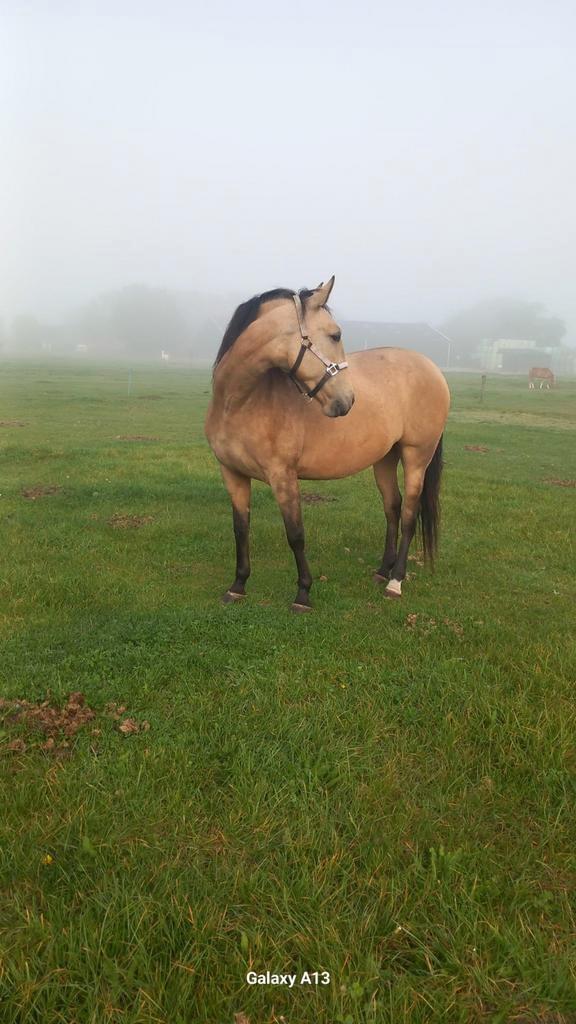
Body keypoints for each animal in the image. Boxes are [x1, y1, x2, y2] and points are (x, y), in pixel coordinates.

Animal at [205, 277, 450, 611]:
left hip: (416, 457)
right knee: (393, 508)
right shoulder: (232, 474)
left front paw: (303, 594)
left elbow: (295, 534)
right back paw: (382, 572)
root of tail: (432, 368)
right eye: (336, 335)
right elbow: (241, 529)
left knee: (411, 516)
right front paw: (238, 586)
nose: (346, 401)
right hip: (385, 459)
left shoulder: (283, 476)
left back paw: (396, 582)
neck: (241, 402)